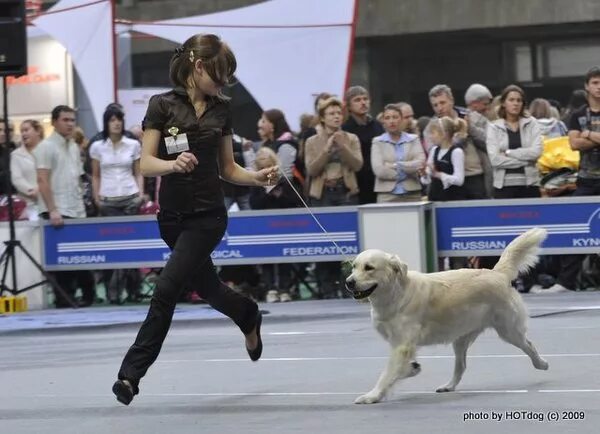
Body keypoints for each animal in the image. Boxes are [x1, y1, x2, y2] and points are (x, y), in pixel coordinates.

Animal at [346, 227, 548, 404]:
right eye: (354, 267)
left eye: (369, 267)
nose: (348, 282)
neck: (395, 294)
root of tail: (496, 273)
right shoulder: (401, 344)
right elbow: (399, 369)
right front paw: (412, 369)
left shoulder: (402, 345)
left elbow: (387, 374)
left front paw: (372, 396)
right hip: (461, 338)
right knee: (461, 366)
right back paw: (448, 386)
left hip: (508, 330)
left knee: (529, 345)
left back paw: (542, 364)